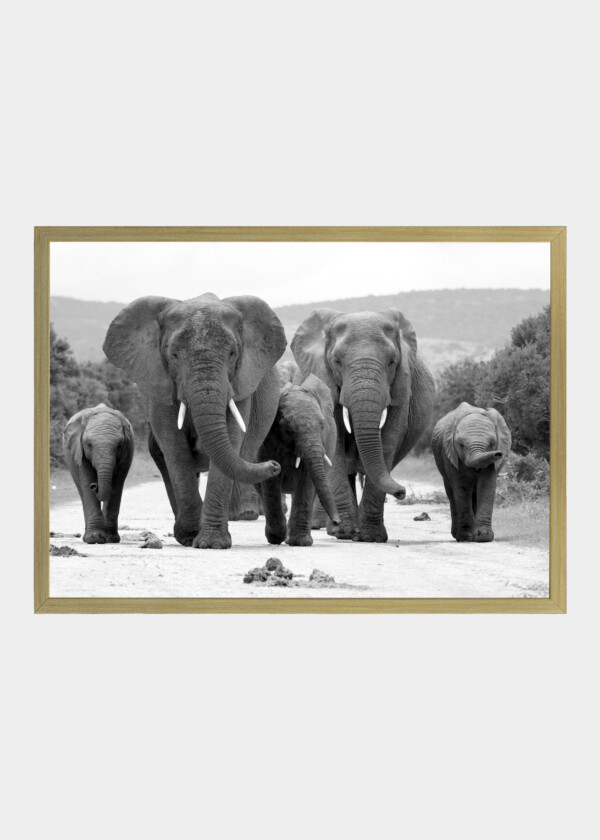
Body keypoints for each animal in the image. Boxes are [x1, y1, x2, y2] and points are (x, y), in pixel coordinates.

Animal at [63, 406, 134, 544]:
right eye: (89, 444)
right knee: (82, 492)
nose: (94, 486)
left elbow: (117, 485)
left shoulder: (126, 453)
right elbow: (86, 481)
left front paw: (111, 538)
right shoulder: (80, 451)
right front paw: (94, 538)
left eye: (119, 445)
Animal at [103, 292, 286, 548]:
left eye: (232, 353)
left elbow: (231, 439)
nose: (275, 465)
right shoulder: (161, 383)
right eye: (174, 355)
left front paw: (212, 543)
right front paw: (191, 537)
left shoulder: (240, 383)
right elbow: (175, 448)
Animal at [260, 364, 340, 548]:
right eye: (289, 430)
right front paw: (277, 538)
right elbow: (271, 480)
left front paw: (300, 543)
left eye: (322, 426)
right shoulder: (267, 439)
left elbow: (307, 480)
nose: (337, 522)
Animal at [292, 312, 436, 540]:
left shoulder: (400, 389)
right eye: (337, 361)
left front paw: (372, 537)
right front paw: (344, 533)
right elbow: (336, 447)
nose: (402, 492)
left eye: (392, 361)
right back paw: (338, 529)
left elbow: (387, 442)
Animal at [432, 402, 510, 544]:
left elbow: (486, 486)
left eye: (492, 443)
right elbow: (462, 488)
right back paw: (458, 535)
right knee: (452, 494)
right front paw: (466, 537)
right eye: (461, 444)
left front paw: (483, 536)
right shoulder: (450, 454)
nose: (498, 454)